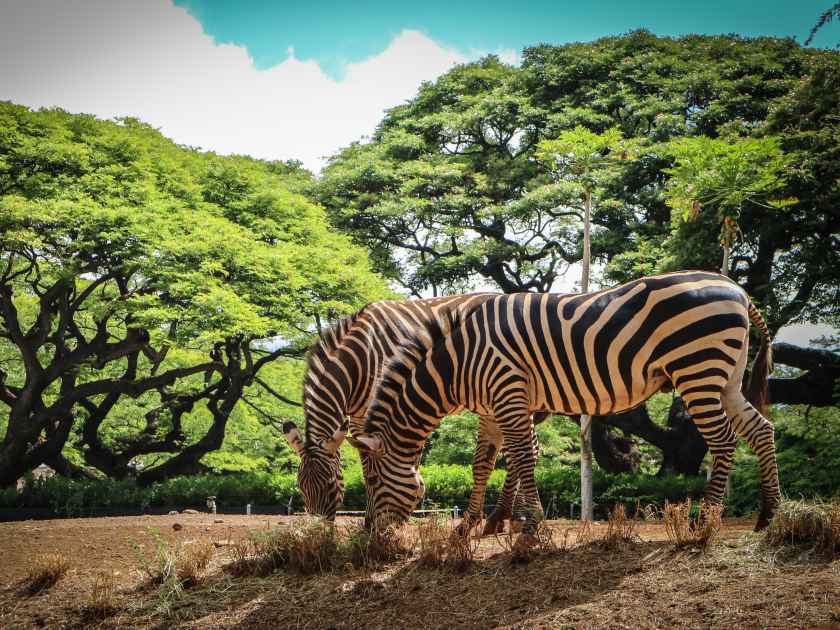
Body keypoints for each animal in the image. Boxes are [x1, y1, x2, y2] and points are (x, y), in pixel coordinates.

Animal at [282, 294, 544, 532]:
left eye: (331, 485)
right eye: (300, 488)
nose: (318, 535)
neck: (359, 358)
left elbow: (376, 464)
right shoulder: (357, 416)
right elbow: (369, 464)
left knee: (529, 447)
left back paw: (515, 517)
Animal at [350, 270, 780, 552]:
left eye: (371, 481)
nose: (372, 540)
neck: (459, 361)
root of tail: (737, 291)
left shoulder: (508, 390)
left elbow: (522, 458)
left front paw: (528, 532)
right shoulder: (495, 405)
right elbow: (484, 464)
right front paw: (470, 527)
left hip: (697, 369)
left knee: (723, 441)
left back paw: (705, 525)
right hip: (726, 377)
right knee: (761, 430)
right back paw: (768, 516)